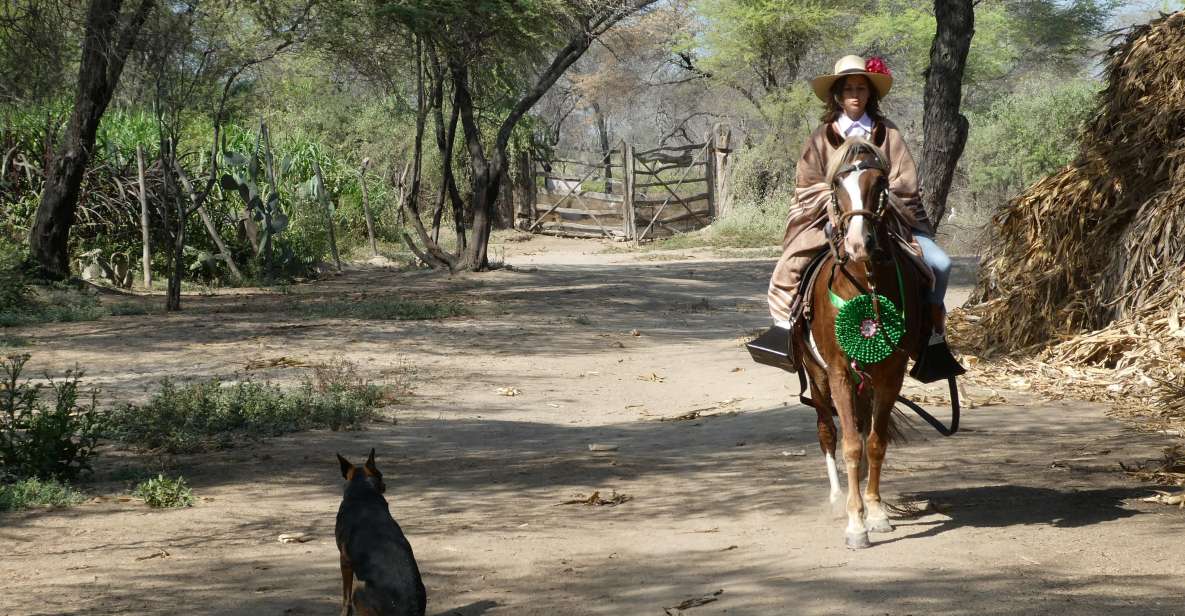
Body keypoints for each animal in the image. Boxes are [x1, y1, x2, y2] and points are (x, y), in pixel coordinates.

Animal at [334, 447, 426, 616]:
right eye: (381, 475)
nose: (385, 484)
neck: (362, 490)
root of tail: (410, 609)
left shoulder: (344, 560)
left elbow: (345, 596)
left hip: (359, 586)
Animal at [796, 138, 924, 549]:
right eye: (837, 184)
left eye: (879, 182)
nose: (858, 243)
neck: (865, 287)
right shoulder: (838, 373)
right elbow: (851, 444)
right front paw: (855, 524)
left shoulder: (890, 374)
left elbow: (875, 442)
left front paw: (877, 512)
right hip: (818, 380)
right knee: (827, 431)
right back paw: (838, 497)